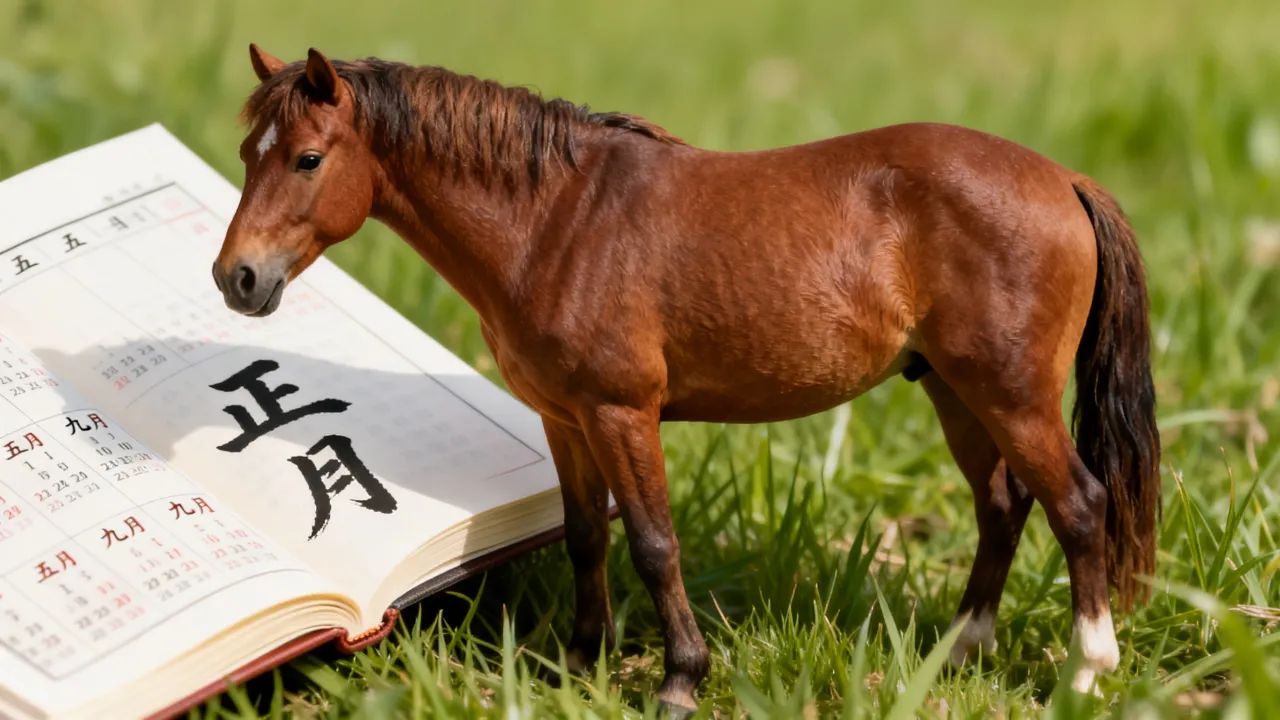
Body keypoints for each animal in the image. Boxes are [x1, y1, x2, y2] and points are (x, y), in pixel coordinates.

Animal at [212, 44, 1161, 716]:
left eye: (306, 159)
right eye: (247, 152)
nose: (238, 279)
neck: (556, 218)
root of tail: (1062, 178)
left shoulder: (622, 413)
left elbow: (653, 543)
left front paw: (678, 681)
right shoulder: (565, 418)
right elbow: (585, 537)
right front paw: (579, 664)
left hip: (1010, 395)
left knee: (1079, 505)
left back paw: (1086, 673)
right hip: (954, 390)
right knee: (1004, 505)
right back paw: (960, 651)